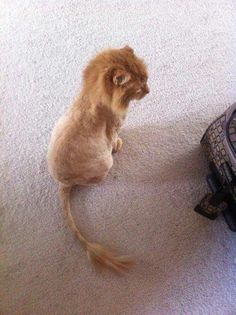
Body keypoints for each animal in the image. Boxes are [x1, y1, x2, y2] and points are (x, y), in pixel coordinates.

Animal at [46, 45, 148, 272]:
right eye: (138, 88)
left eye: (147, 79)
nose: (148, 91)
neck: (89, 95)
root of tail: (62, 182)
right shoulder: (114, 129)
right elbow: (115, 139)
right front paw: (118, 145)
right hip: (105, 164)